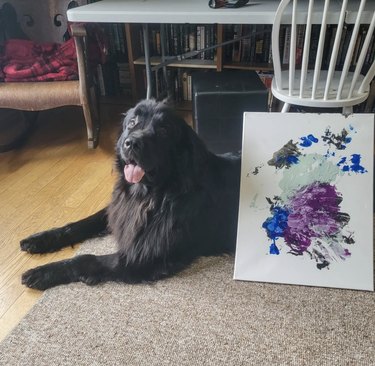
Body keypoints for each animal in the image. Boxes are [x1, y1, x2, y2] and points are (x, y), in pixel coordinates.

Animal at [21, 98, 241, 290]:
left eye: (164, 130)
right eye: (132, 122)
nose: (132, 143)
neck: (150, 194)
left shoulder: (147, 255)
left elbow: (88, 259)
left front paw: (44, 272)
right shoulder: (121, 209)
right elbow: (82, 223)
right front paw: (41, 238)